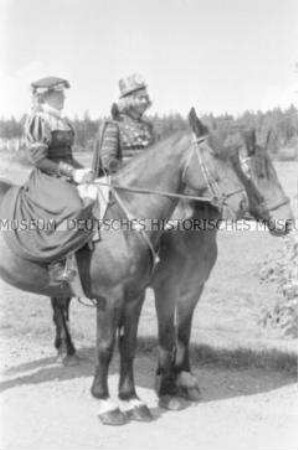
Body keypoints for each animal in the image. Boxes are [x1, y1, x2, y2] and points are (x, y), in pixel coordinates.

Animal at [0, 126, 247, 426]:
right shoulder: (111, 298)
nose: (242, 202)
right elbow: (105, 346)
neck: (125, 219)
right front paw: (106, 402)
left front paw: (132, 400)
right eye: (213, 155)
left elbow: (128, 345)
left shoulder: (135, 296)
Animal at [151, 121, 294, 410]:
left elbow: (183, 333)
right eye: (259, 174)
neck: (185, 232)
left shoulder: (192, 290)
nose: (287, 221)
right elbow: (167, 336)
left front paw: (185, 379)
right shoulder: (165, 291)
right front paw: (166, 387)